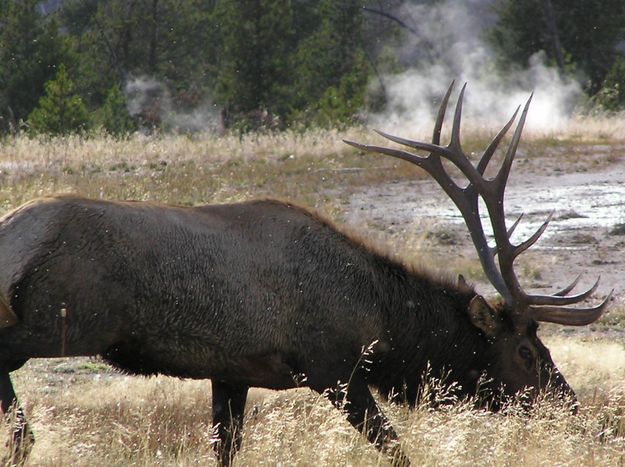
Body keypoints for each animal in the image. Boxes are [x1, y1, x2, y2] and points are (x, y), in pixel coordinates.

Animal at [0, 83, 608, 464]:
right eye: (526, 352)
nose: (574, 410)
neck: (377, 319)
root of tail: (13, 235)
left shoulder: (232, 372)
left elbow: (225, 449)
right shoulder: (334, 369)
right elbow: (396, 450)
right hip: (65, 321)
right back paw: (23, 438)